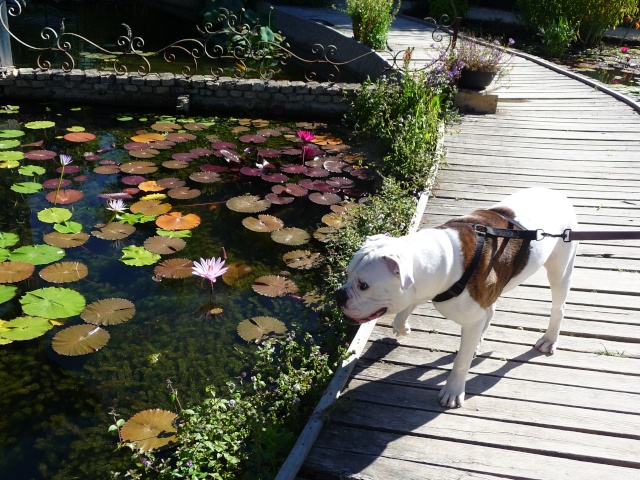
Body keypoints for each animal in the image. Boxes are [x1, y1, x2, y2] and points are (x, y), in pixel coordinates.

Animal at [336, 189, 580, 406]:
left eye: (363, 285)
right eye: (347, 274)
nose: (339, 294)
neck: (448, 260)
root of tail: (557, 194)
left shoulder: (469, 319)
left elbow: (461, 361)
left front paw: (453, 390)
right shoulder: (424, 288)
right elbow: (404, 310)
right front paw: (402, 327)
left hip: (560, 270)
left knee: (558, 307)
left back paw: (549, 338)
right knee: (490, 311)